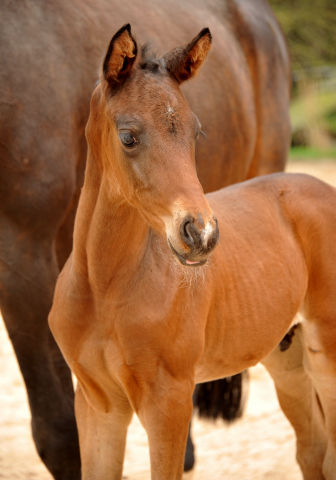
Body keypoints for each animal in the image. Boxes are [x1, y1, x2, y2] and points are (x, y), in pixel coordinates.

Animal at [48, 24, 336, 478]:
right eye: (128, 136)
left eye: (194, 132)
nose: (201, 232)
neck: (103, 289)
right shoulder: (97, 404)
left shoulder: (169, 401)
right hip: (287, 357)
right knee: (313, 451)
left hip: (326, 352)